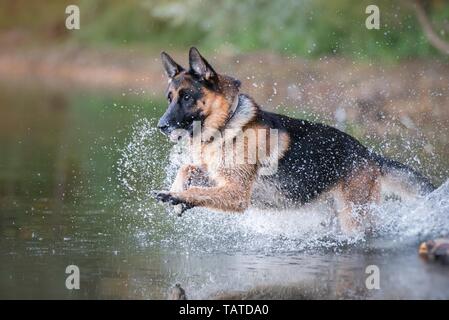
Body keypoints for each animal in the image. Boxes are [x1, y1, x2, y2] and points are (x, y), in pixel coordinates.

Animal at [152, 47, 432, 232]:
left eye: (187, 97)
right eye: (170, 98)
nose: (161, 126)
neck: (227, 125)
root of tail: (367, 153)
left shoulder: (237, 192)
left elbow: (197, 189)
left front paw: (176, 196)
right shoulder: (218, 177)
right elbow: (187, 168)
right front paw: (176, 192)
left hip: (355, 219)